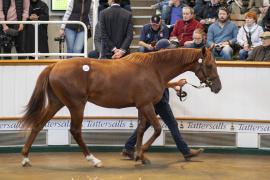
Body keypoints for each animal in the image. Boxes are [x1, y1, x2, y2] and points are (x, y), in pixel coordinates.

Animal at [19, 47, 221, 167]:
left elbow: (141, 129)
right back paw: (94, 160)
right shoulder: (147, 105)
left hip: (57, 103)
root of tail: (54, 65)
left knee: (38, 125)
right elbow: (156, 129)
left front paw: (139, 156)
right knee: (75, 131)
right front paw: (141, 154)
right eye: (210, 65)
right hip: (76, 105)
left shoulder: (141, 107)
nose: (218, 87)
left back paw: (25, 157)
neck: (154, 68)